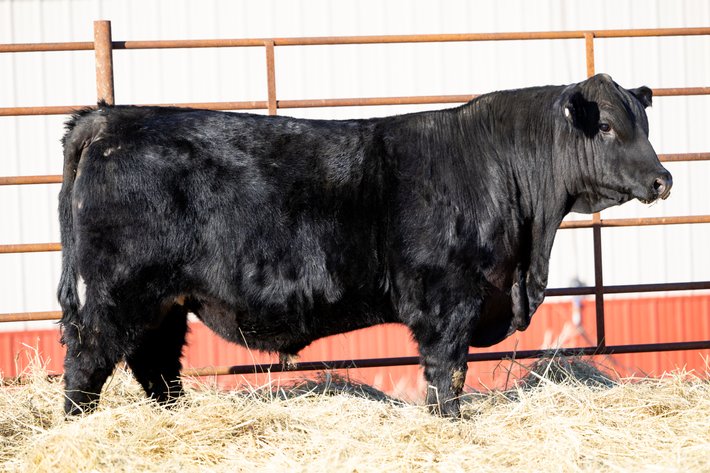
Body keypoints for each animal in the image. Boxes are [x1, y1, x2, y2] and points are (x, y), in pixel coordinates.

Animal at [58, 73, 671, 417]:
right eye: (608, 127)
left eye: (643, 123)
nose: (663, 179)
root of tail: (106, 119)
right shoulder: (448, 300)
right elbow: (447, 375)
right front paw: (450, 423)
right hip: (115, 295)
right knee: (87, 366)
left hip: (165, 302)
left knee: (155, 367)